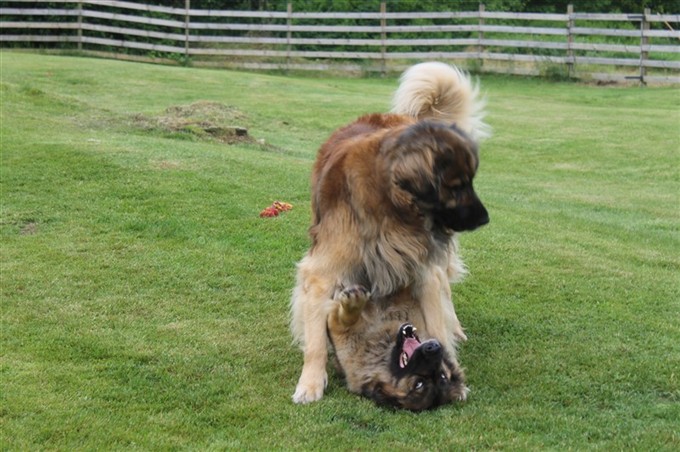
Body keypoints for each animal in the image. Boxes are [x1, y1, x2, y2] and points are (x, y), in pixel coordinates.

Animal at [290, 61, 488, 408]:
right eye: (456, 186)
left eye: (471, 182)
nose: (486, 218)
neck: (390, 210)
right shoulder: (321, 272)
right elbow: (315, 339)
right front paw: (310, 383)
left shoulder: (424, 271)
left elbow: (435, 321)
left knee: (446, 290)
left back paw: (456, 329)